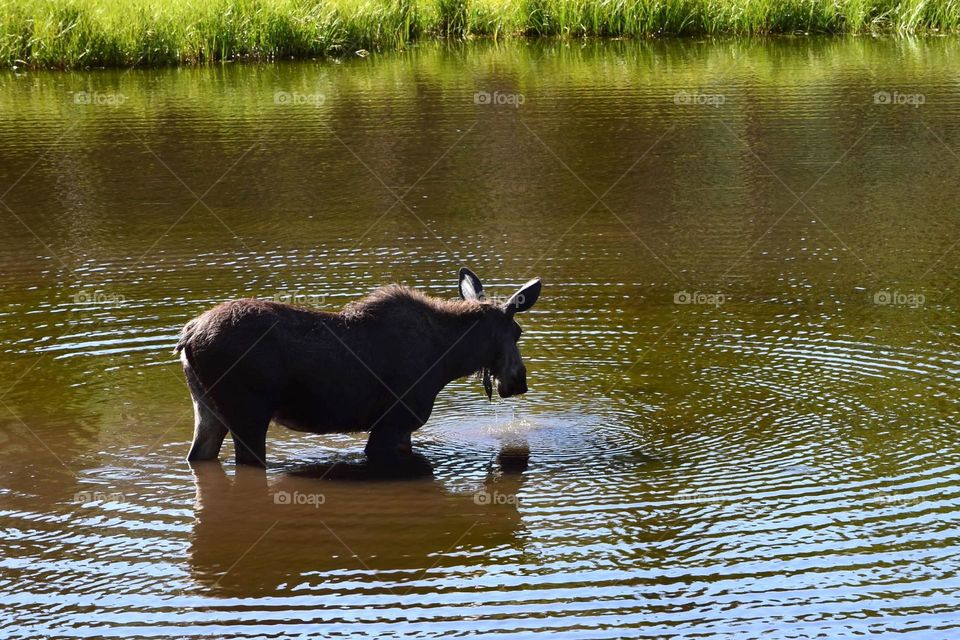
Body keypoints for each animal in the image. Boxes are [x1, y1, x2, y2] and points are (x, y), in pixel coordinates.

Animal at [176, 268, 544, 468]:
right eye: (518, 332)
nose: (520, 381)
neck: (449, 360)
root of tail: (188, 336)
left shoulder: (403, 430)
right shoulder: (392, 422)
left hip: (206, 408)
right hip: (248, 415)